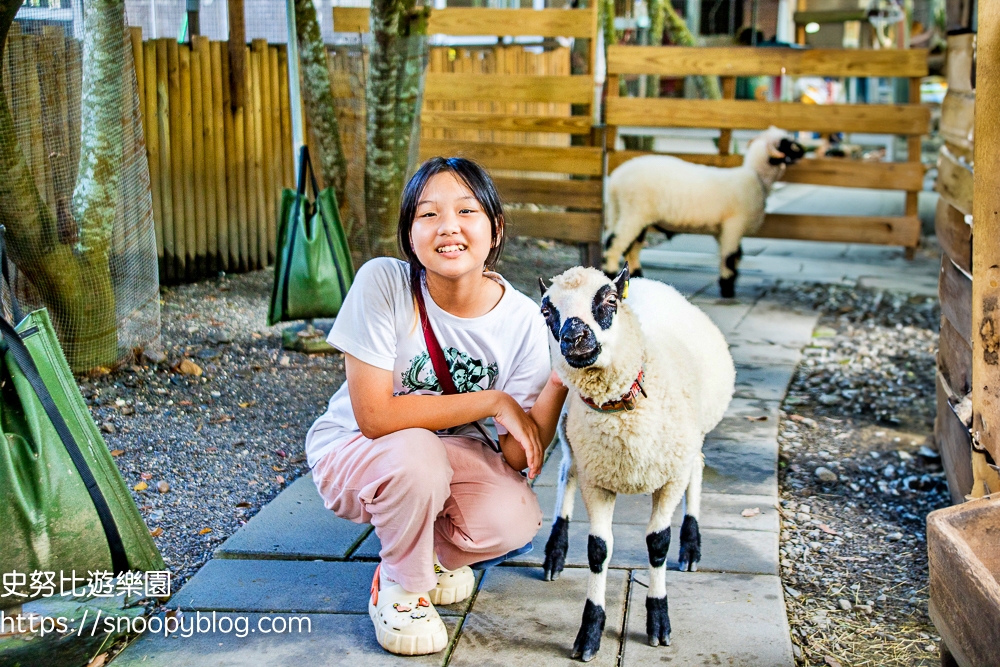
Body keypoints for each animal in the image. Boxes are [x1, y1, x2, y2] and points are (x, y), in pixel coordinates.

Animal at [540, 266, 736, 664]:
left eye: (609, 300)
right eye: (547, 312)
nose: (573, 338)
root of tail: (646, 282)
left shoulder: (670, 476)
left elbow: (658, 543)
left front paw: (659, 621)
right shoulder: (597, 476)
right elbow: (598, 550)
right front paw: (589, 633)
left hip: (692, 436)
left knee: (697, 467)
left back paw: (691, 546)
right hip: (568, 430)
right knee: (567, 471)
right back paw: (555, 551)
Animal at [600, 126, 804, 298]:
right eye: (786, 143)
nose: (803, 150)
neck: (757, 178)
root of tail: (615, 181)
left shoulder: (722, 230)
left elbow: (736, 255)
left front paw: (728, 284)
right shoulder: (733, 224)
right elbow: (730, 257)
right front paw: (728, 290)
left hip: (626, 213)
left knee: (631, 248)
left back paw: (638, 278)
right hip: (634, 212)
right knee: (615, 244)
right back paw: (610, 275)